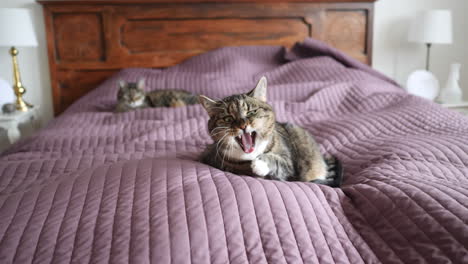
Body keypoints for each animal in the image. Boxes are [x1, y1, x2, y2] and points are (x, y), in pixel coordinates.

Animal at [200, 76, 336, 184]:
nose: (243, 125)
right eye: (228, 118)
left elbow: (277, 162)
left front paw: (259, 164)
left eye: (251, 112)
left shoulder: (289, 166)